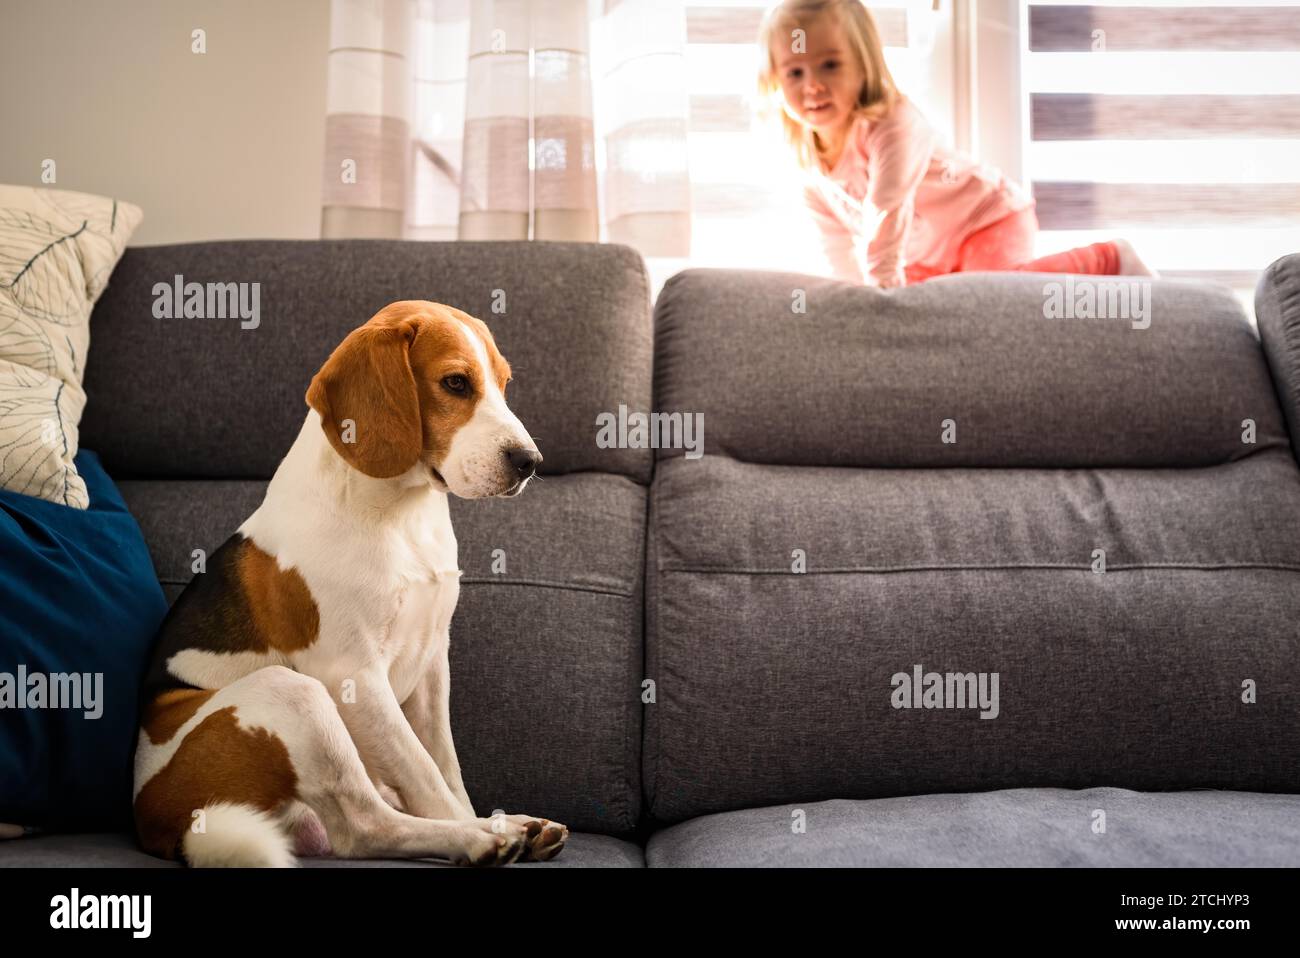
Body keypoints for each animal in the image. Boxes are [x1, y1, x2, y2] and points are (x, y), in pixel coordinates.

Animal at [130, 300, 569, 868]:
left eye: (504, 382)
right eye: (455, 383)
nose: (529, 462)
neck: (399, 512)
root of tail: (156, 823)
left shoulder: (432, 663)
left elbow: (446, 767)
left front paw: (478, 814)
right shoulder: (354, 677)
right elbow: (426, 776)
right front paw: (472, 827)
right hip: (293, 694)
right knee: (365, 825)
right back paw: (481, 838)